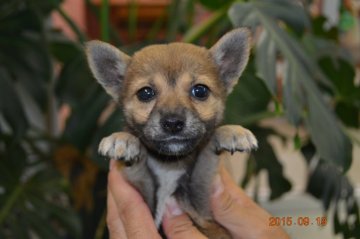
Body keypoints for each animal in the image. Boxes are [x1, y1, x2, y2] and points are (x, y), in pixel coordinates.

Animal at [86, 28, 258, 239]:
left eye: (200, 91)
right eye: (145, 93)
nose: (173, 123)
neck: (169, 164)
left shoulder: (202, 207)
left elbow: (206, 155)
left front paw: (231, 131)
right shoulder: (147, 200)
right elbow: (137, 170)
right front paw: (123, 140)